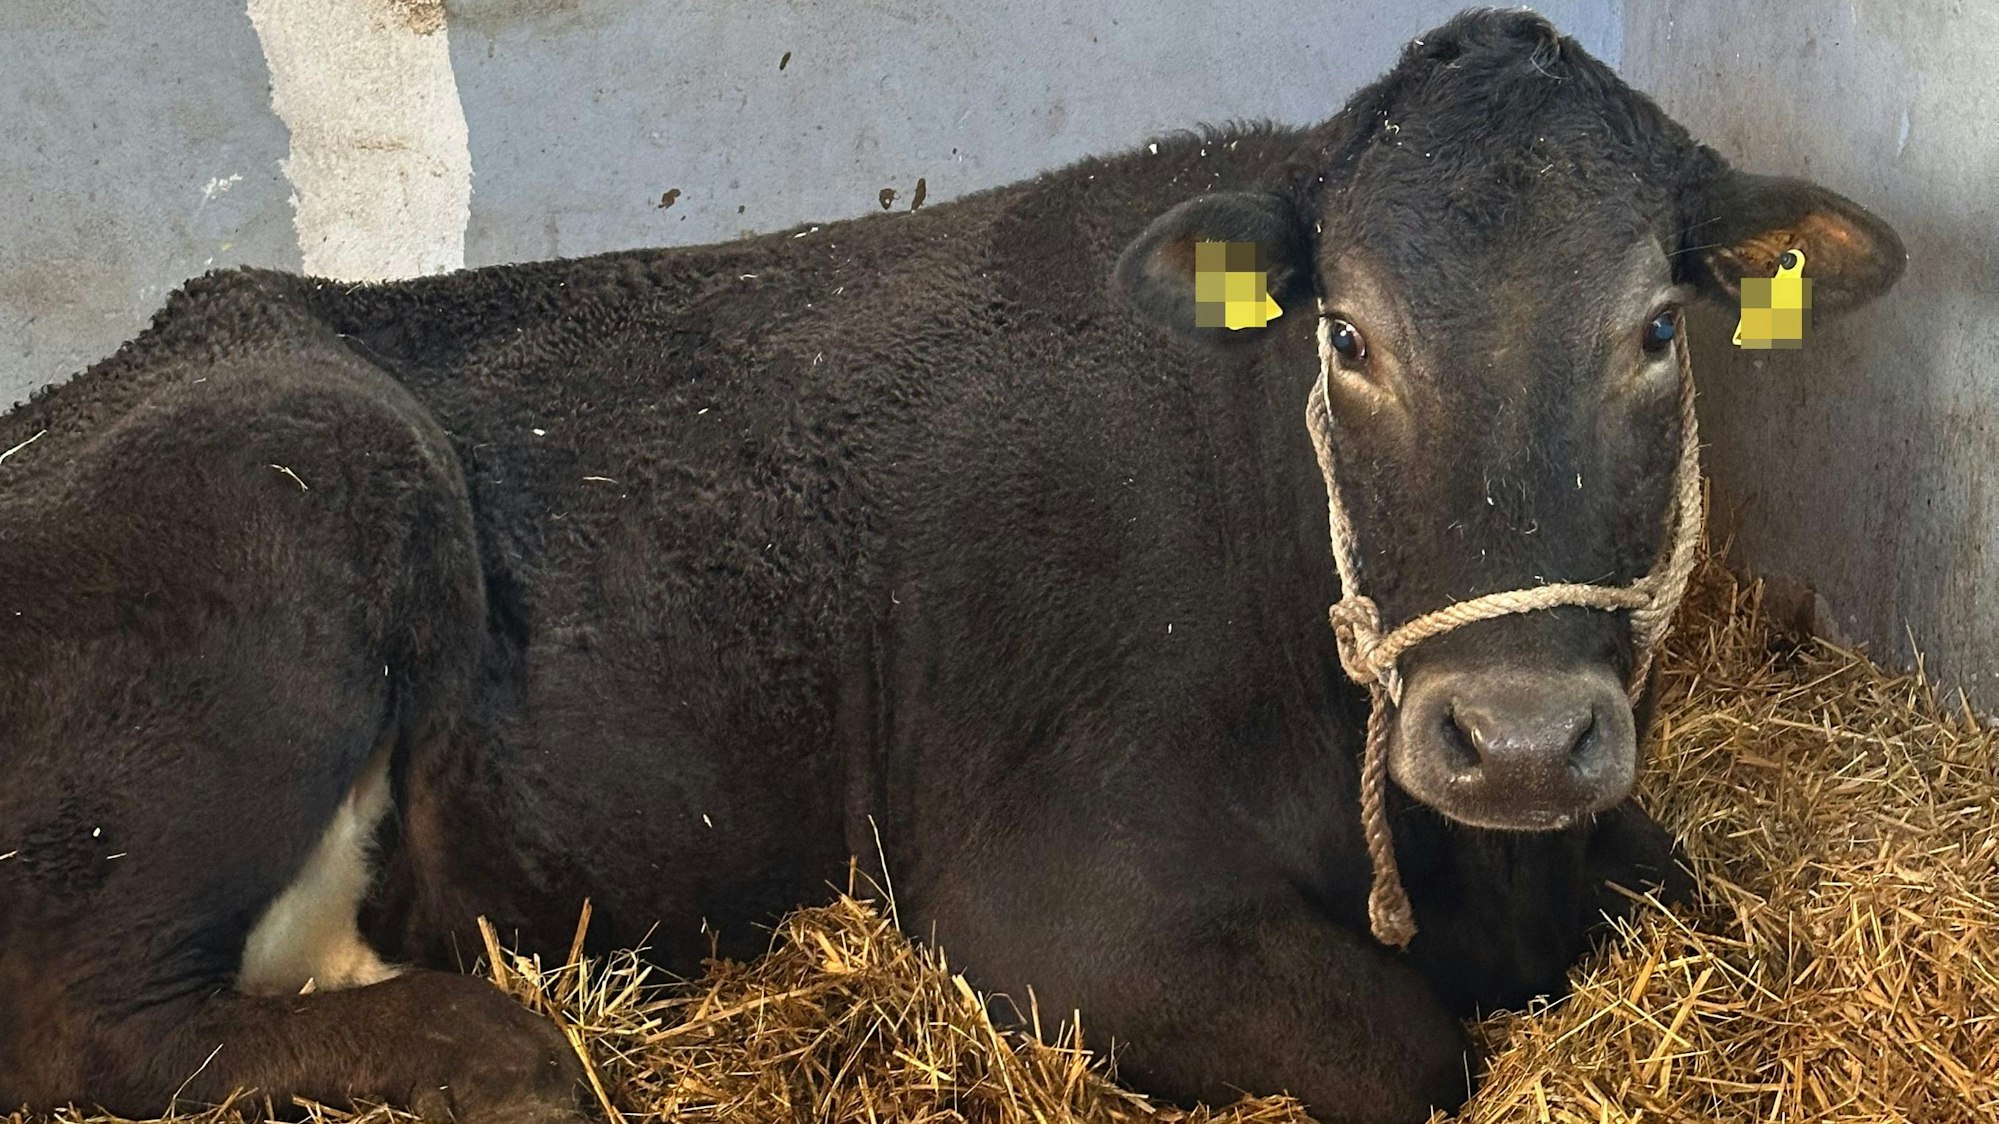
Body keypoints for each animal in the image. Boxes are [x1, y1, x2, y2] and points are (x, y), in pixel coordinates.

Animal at [0, 9, 1904, 1124]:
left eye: (1653, 326)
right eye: (1347, 335)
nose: (1511, 739)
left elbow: (1691, 889)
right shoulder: (1043, 896)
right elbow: (1401, 1048)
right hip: (301, 479)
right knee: (90, 1023)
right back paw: (496, 1053)